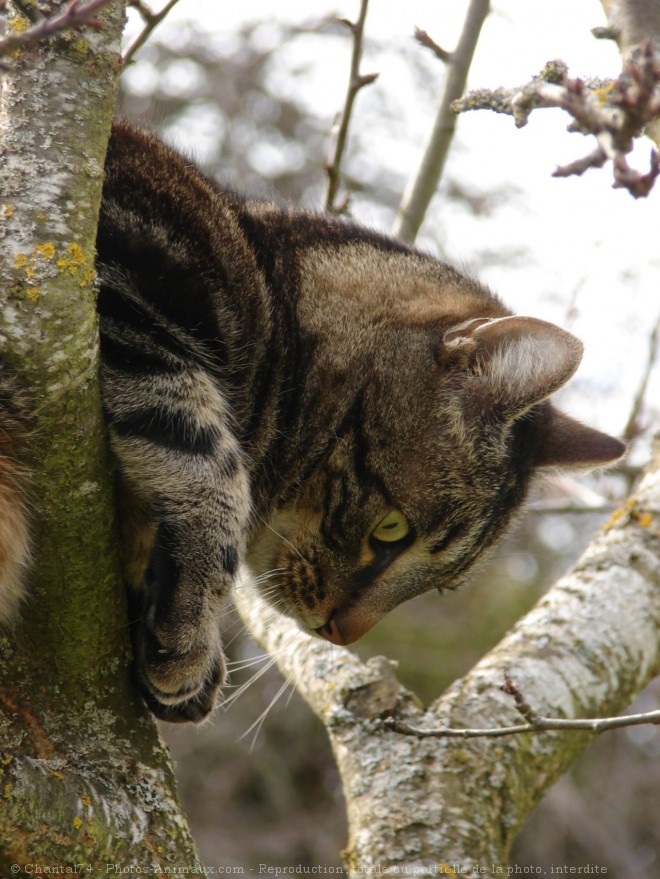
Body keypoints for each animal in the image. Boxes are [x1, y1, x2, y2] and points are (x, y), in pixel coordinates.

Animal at [0, 122, 624, 720]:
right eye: (391, 529)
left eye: (443, 585)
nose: (343, 634)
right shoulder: (131, 291)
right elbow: (210, 471)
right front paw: (191, 637)